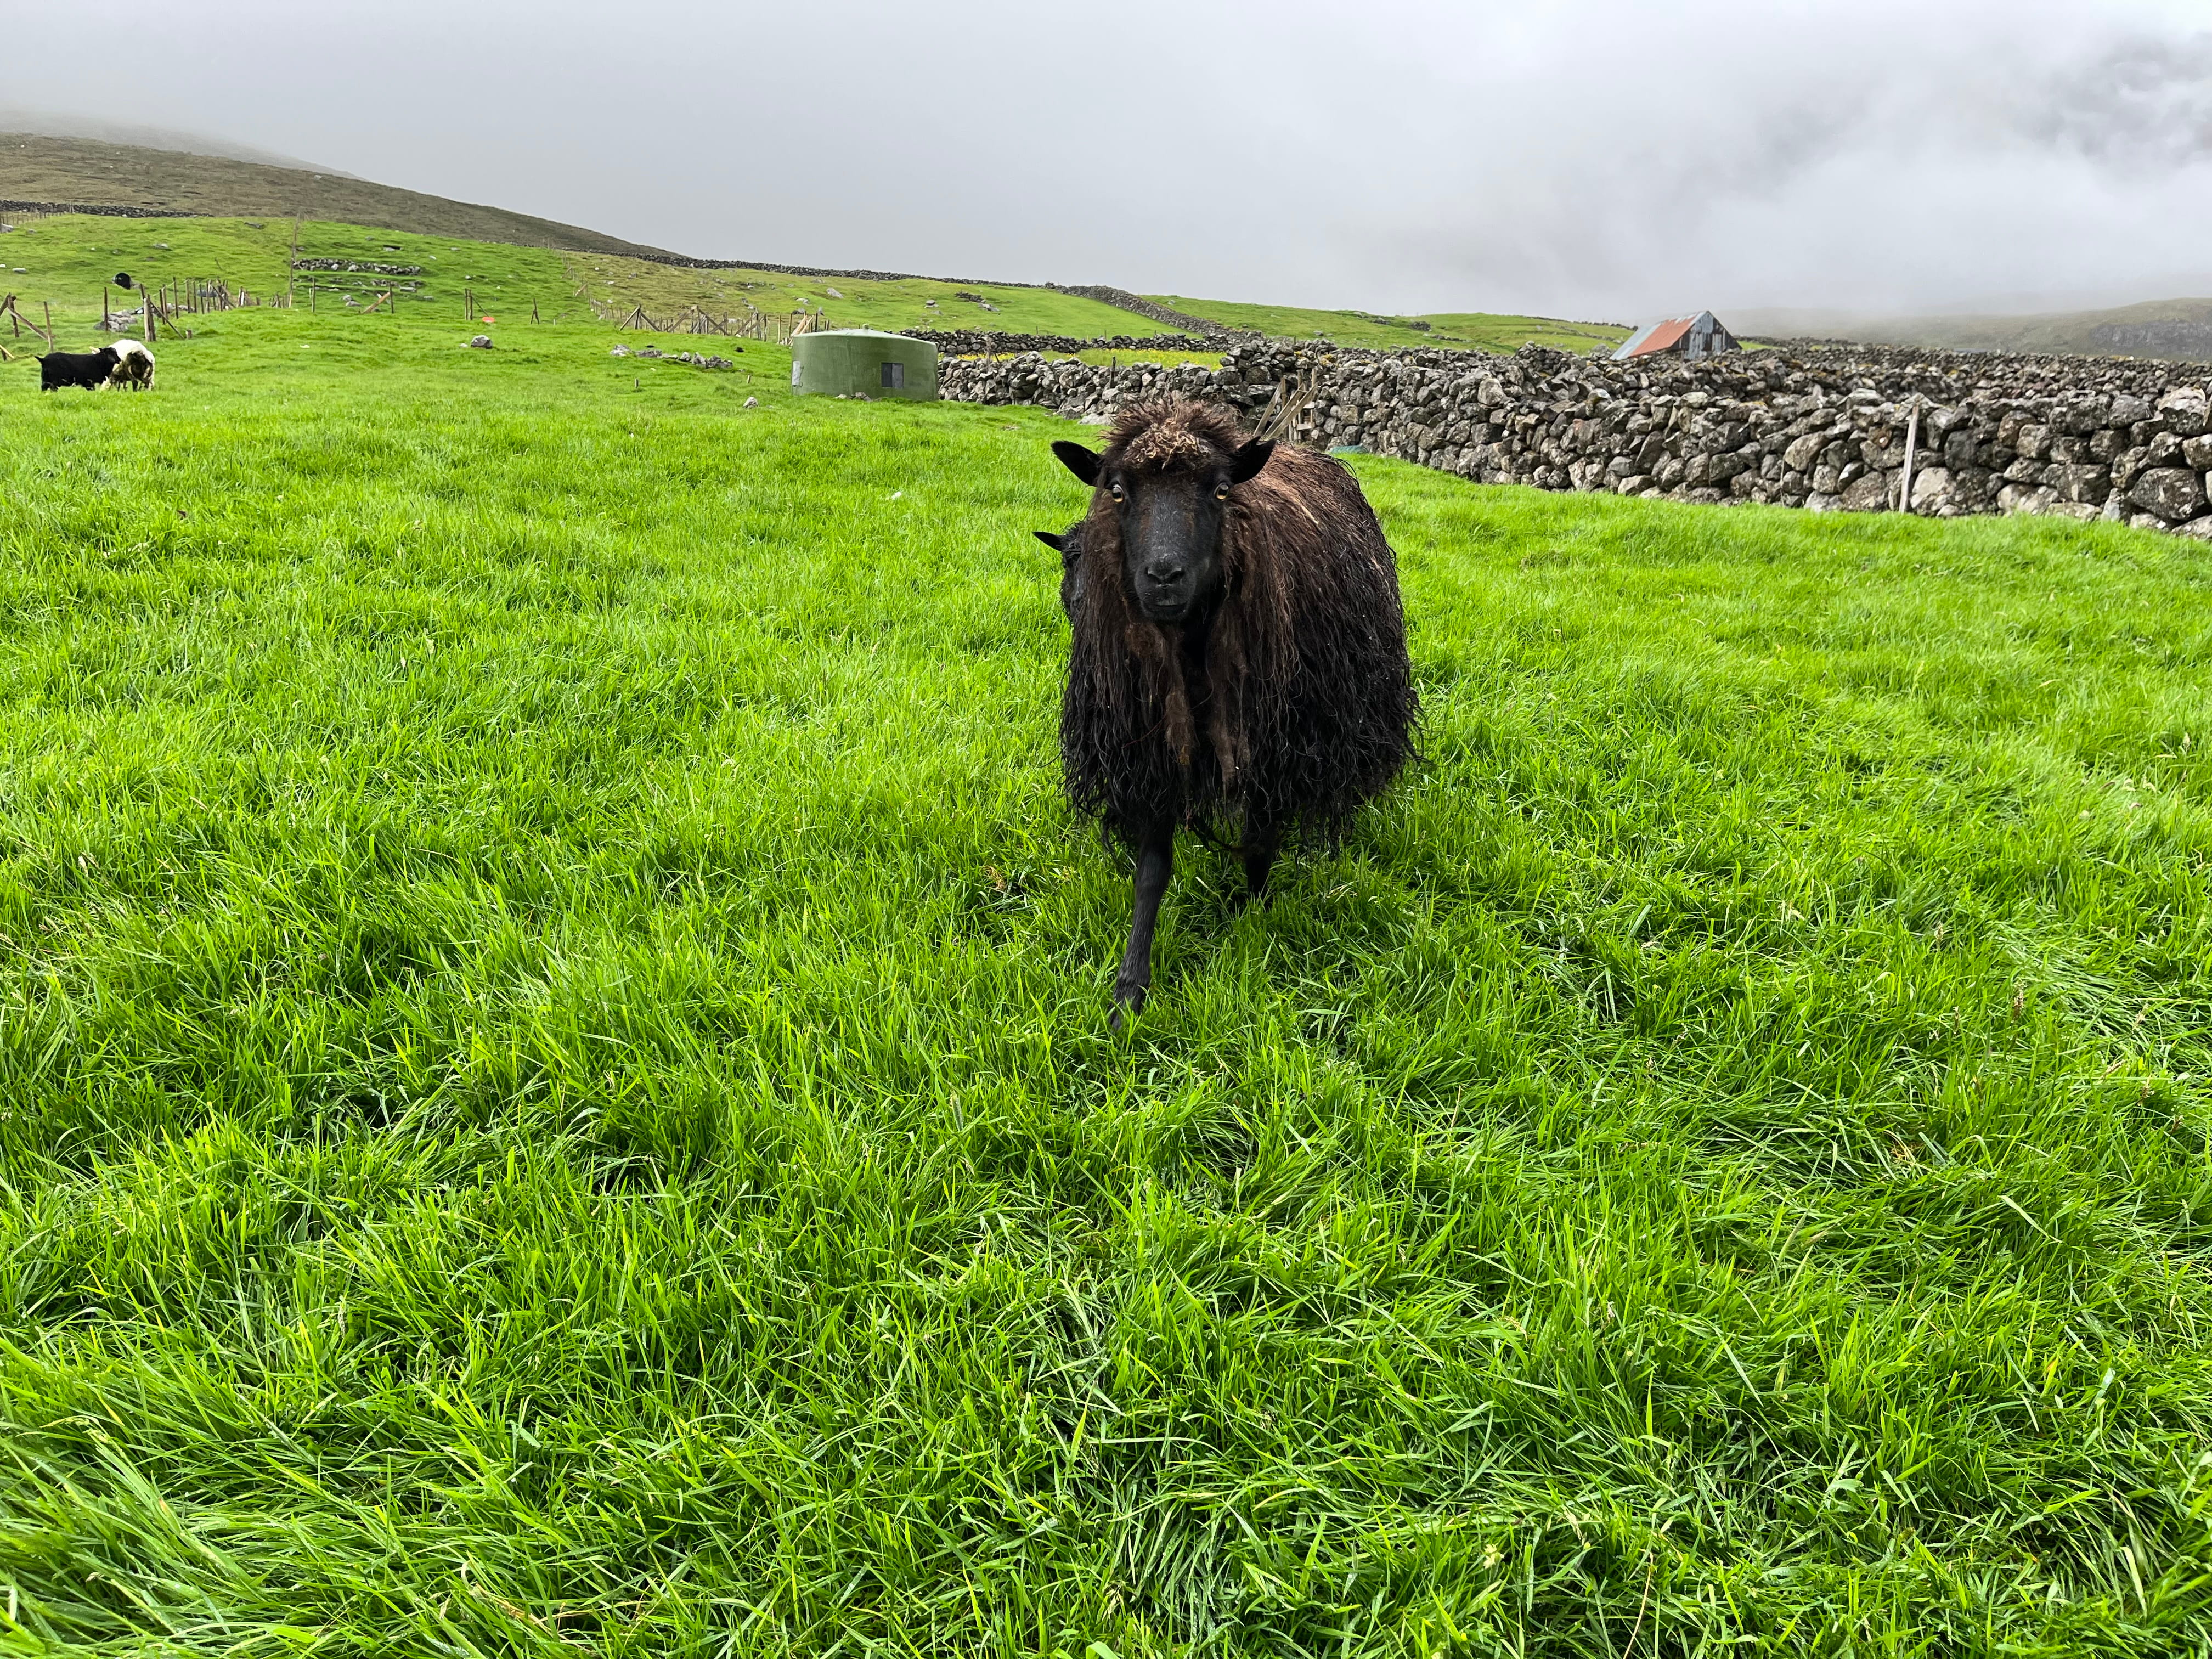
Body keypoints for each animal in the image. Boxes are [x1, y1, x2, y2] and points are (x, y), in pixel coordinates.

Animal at [39, 346, 120, 393]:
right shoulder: (89, 382)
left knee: (44, 388)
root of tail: (43, 360)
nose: (115, 360)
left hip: (46, 379)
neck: (100, 361)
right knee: (53, 389)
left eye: (115, 353)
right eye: (107, 353)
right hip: (55, 380)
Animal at [1048, 398, 1418, 1024]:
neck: (1191, 646)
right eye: (1116, 490)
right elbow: (1151, 872)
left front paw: (1254, 916)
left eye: (1221, 490)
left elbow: (1260, 845)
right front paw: (1130, 991)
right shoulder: (1153, 749)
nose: (1163, 577)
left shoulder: (1276, 745)